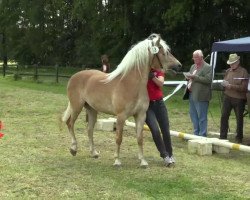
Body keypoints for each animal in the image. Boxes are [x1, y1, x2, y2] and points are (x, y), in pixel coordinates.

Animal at [61, 33, 181, 166]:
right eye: (164, 52)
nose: (179, 65)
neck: (130, 84)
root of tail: (74, 76)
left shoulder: (141, 115)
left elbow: (140, 138)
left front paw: (143, 161)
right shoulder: (121, 116)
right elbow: (119, 138)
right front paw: (117, 161)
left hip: (92, 109)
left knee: (89, 130)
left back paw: (94, 153)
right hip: (76, 107)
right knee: (70, 123)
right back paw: (73, 149)